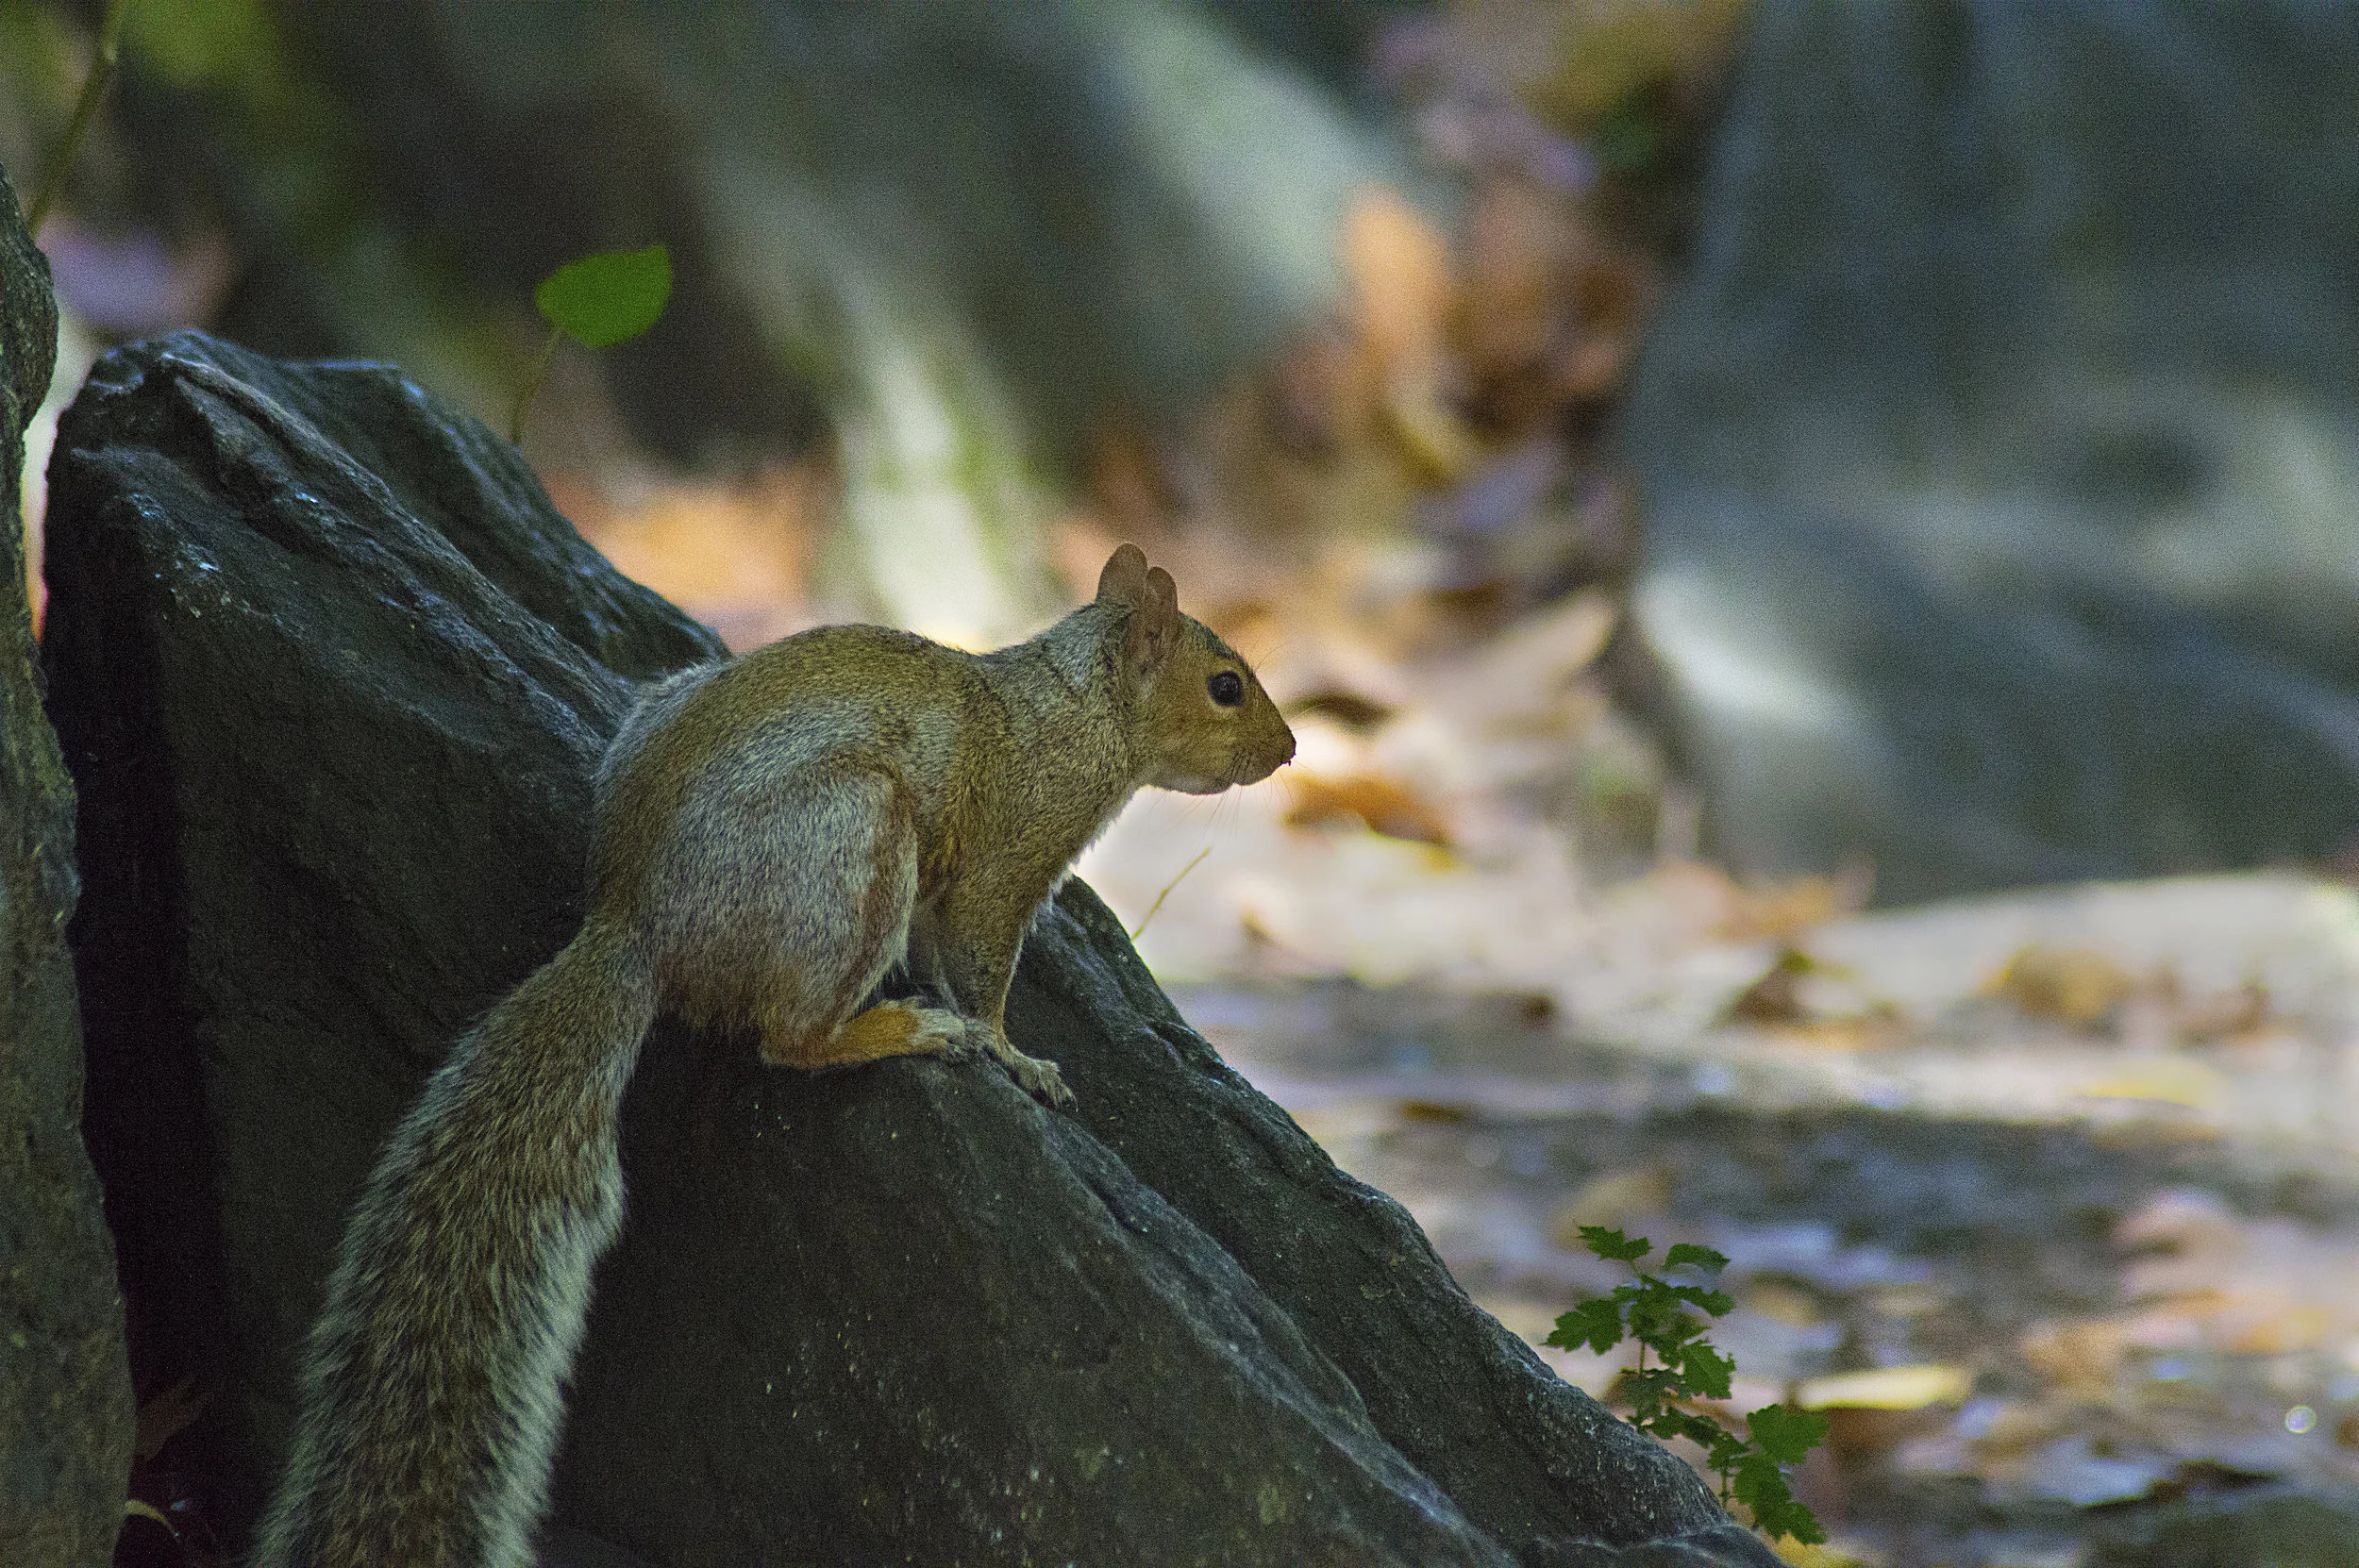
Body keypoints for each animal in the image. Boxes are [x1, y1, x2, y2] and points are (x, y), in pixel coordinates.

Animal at [249, 543, 1295, 1568]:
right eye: (1226, 686)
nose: (1288, 752)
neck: (1073, 705)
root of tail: (634, 924)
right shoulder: (1005, 863)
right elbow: (981, 970)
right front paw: (1014, 1056)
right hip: (853, 843)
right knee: (788, 1040)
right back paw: (900, 1031)